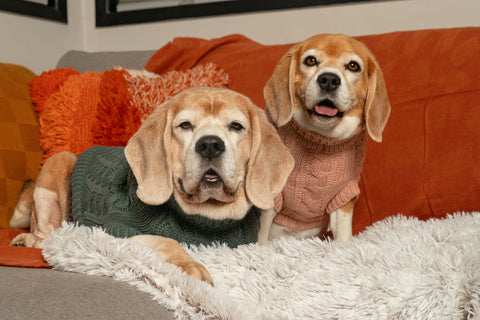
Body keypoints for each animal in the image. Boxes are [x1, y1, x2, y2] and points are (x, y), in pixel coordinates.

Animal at [10, 87, 292, 284]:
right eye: (185, 125)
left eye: (236, 126)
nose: (210, 145)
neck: (207, 216)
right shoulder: (118, 231)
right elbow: (168, 241)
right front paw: (190, 266)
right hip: (60, 160)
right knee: (48, 234)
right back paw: (28, 240)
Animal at [260, 34, 392, 242]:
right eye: (310, 60)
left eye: (353, 66)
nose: (329, 79)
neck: (321, 139)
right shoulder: (270, 197)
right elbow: (260, 239)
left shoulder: (343, 196)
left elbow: (343, 236)